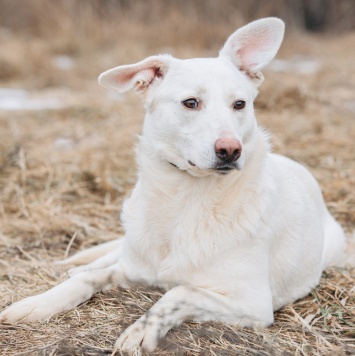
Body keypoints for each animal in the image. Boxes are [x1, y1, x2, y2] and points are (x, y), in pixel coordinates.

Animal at [0, 18, 344, 354]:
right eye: (191, 102)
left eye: (239, 104)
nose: (231, 150)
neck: (185, 198)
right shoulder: (131, 269)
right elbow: (87, 280)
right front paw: (37, 304)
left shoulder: (252, 303)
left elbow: (178, 292)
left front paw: (142, 331)